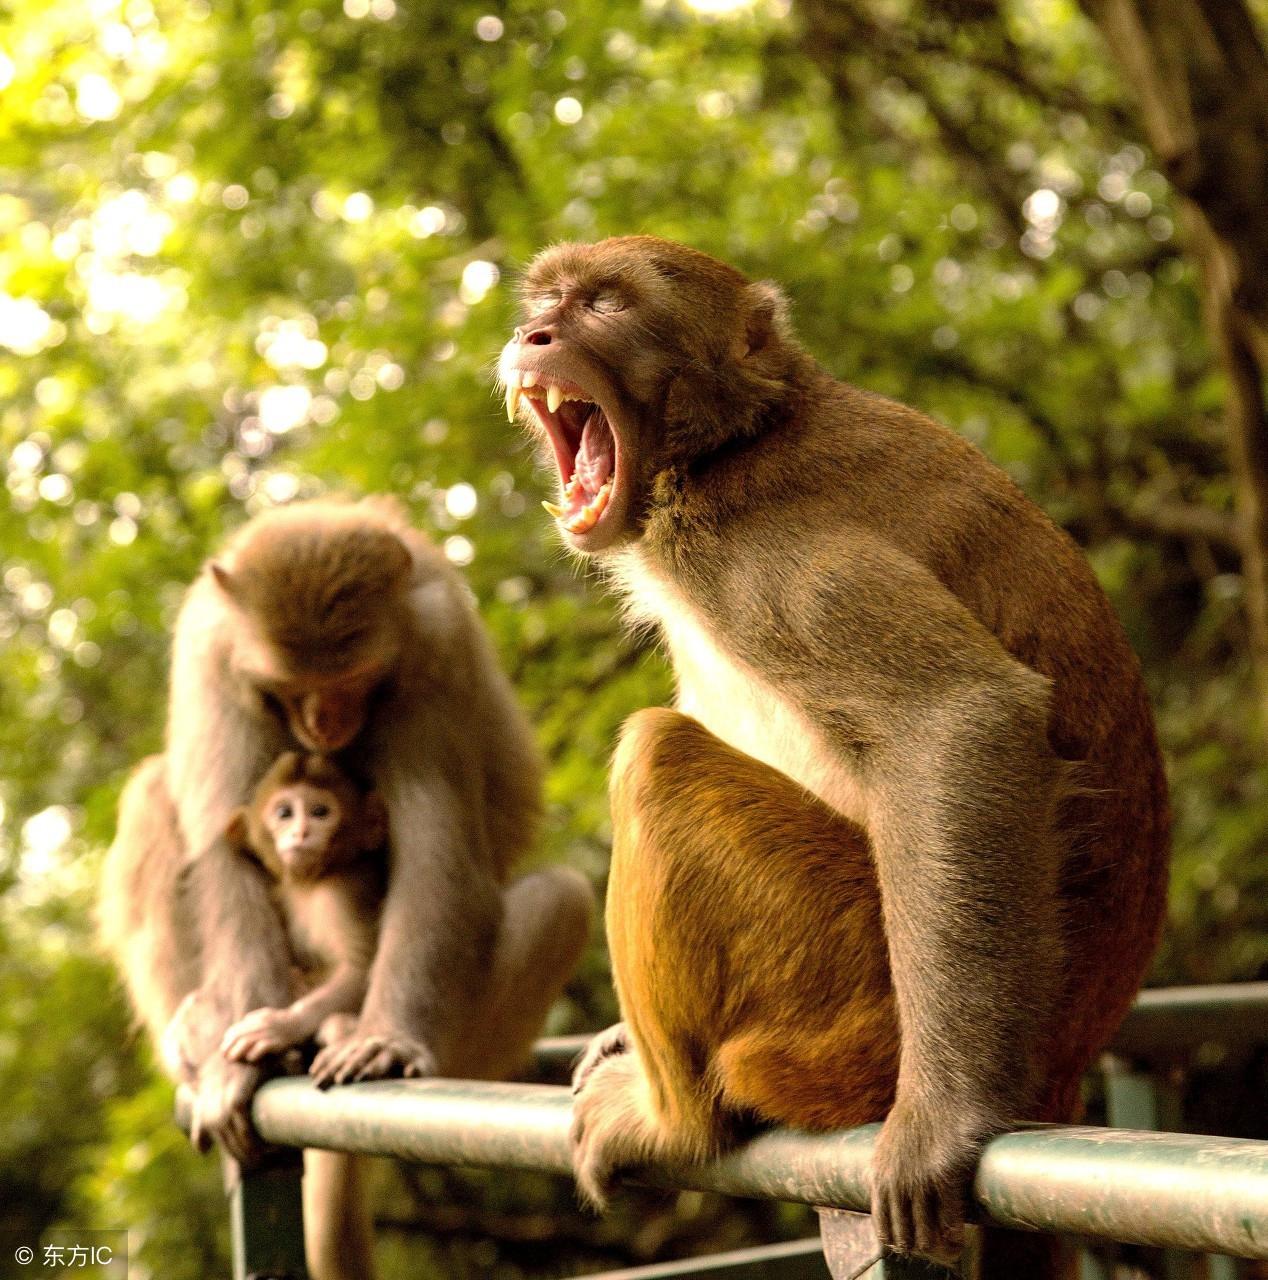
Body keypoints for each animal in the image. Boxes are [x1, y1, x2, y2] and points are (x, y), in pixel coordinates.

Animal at [217, 747, 386, 1080]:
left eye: (320, 812)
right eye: (285, 813)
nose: (301, 831)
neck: (314, 880)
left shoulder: (340, 895)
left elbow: (361, 967)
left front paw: (281, 1025)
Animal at [504, 238, 1172, 1269]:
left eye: (605, 304)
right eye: (544, 301)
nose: (535, 334)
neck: (728, 445)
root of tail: (1068, 1060)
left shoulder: (760, 553)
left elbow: (961, 716)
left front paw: (943, 1122)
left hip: (844, 1012)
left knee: (657, 759)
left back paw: (676, 1125)